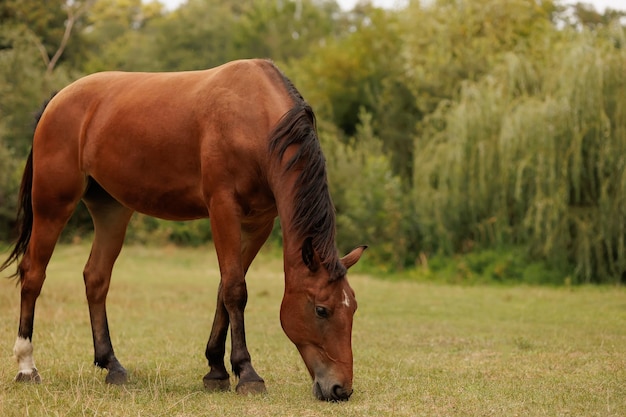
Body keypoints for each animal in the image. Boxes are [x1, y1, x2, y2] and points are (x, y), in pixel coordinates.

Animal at [0, 58, 366, 400]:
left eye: (353, 308)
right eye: (321, 310)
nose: (340, 389)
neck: (254, 120)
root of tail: (57, 100)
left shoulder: (259, 223)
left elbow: (223, 289)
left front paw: (216, 369)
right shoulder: (223, 209)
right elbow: (235, 289)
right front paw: (247, 373)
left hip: (112, 211)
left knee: (96, 278)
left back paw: (112, 365)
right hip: (52, 206)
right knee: (33, 275)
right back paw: (26, 366)